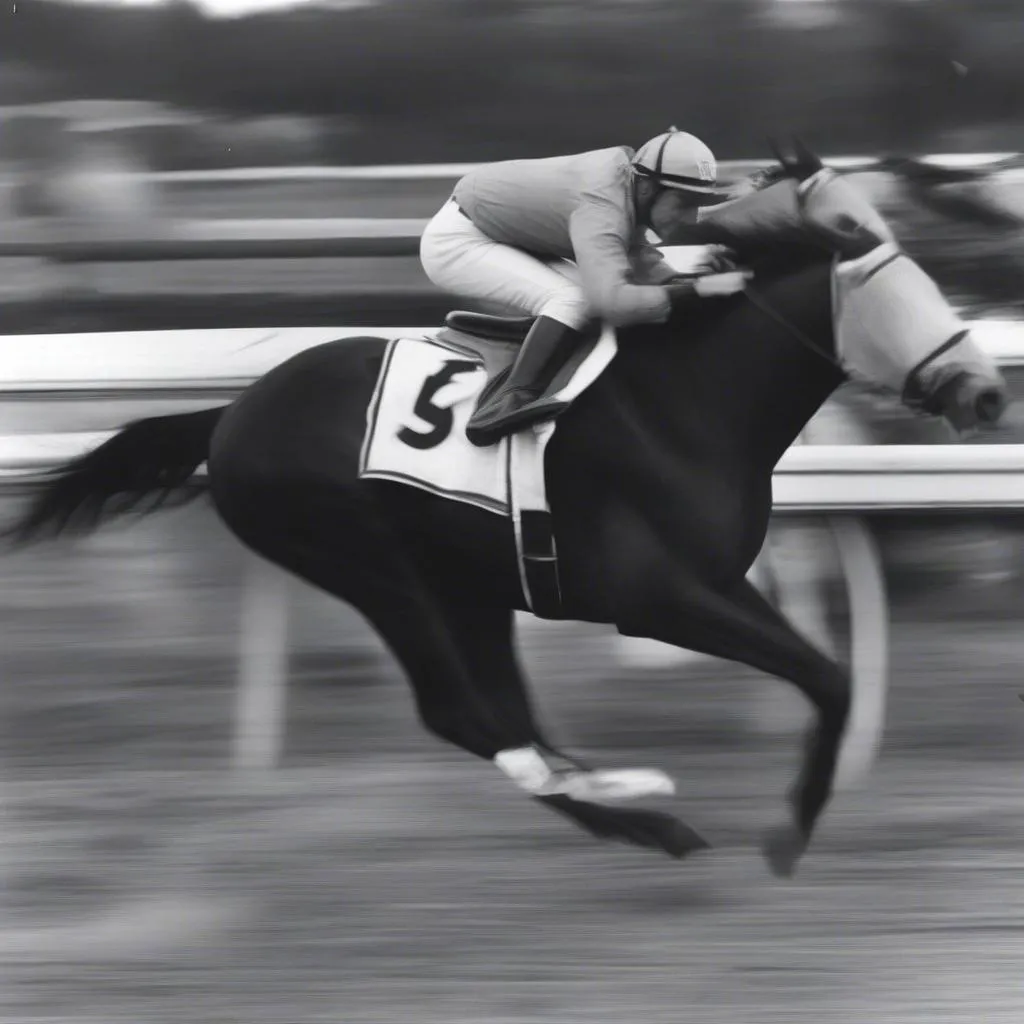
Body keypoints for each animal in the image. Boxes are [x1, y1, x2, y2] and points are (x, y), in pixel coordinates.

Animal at [8, 148, 1007, 876]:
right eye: (871, 257)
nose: (987, 390)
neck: (687, 402)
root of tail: (231, 414)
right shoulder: (660, 597)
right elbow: (827, 677)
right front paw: (787, 830)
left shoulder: (709, 584)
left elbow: (831, 676)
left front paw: (794, 822)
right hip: (373, 568)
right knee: (465, 714)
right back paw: (637, 805)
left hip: (469, 580)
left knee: (502, 711)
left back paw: (618, 799)